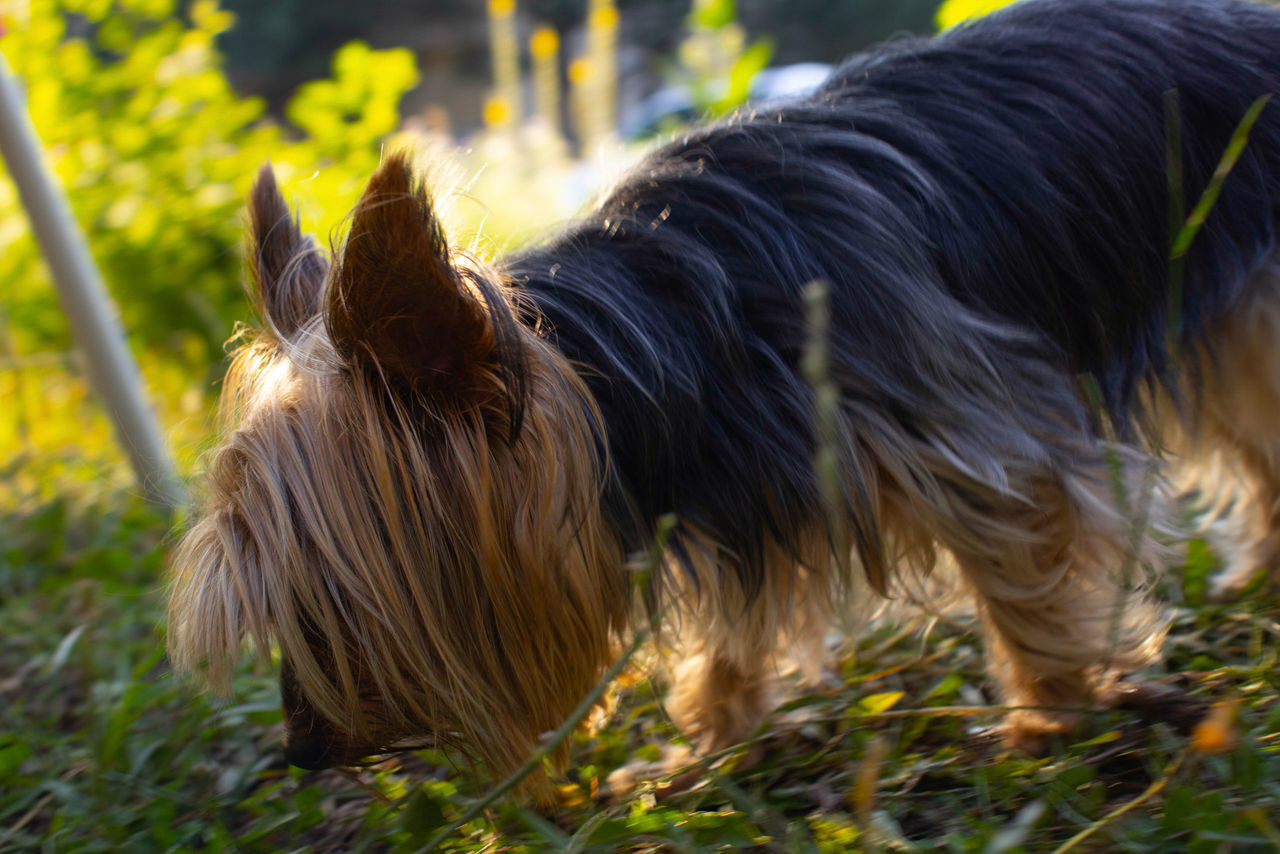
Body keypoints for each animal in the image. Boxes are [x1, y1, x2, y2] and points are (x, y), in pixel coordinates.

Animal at [165, 0, 1280, 788]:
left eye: (326, 606)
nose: (302, 748)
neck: (653, 350)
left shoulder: (977, 432)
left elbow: (1025, 563)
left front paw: (1049, 711)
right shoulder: (747, 488)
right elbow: (741, 621)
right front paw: (702, 742)